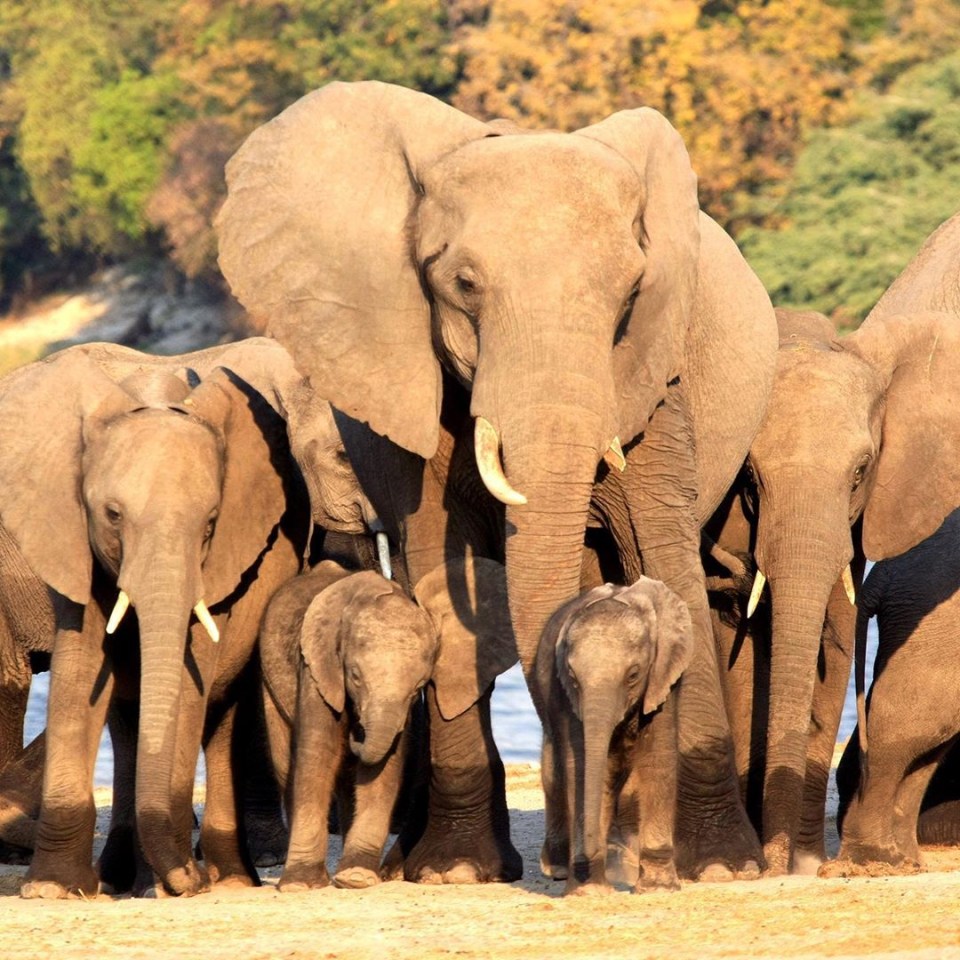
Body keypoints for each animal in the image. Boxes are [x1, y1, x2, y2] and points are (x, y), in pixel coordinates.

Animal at [0, 340, 312, 900]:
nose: (189, 878)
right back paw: (124, 876)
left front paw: (166, 887)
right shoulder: (71, 540)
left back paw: (226, 879)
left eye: (211, 523)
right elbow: (81, 667)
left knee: (222, 712)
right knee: (127, 718)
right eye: (112, 515)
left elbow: (189, 682)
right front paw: (53, 888)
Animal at [536, 572, 692, 896]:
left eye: (633, 675)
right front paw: (587, 890)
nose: (588, 856)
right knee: (556, 772)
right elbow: (581, 765)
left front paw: (658, 888)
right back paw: (558, 868)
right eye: (573, 677)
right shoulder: (564, 696)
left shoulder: (662, 681)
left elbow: (659, 759)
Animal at [700, 302, 960, 876]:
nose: (775, 864)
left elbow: (834, 628)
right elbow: (737, 645)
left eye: (861, 471)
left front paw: (799, 860)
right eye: (749, 478)